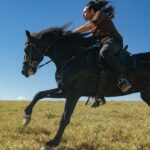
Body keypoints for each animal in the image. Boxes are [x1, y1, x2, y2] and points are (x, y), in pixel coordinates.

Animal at [22, 24, 150, 149]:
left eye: (26, 49)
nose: (24, 71)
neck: (71, 58)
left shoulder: (73, 94)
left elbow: (65, 118)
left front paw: (52, 143)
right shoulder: (63, 91)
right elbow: (39, 94)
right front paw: (26, 117)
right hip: (145, 95)